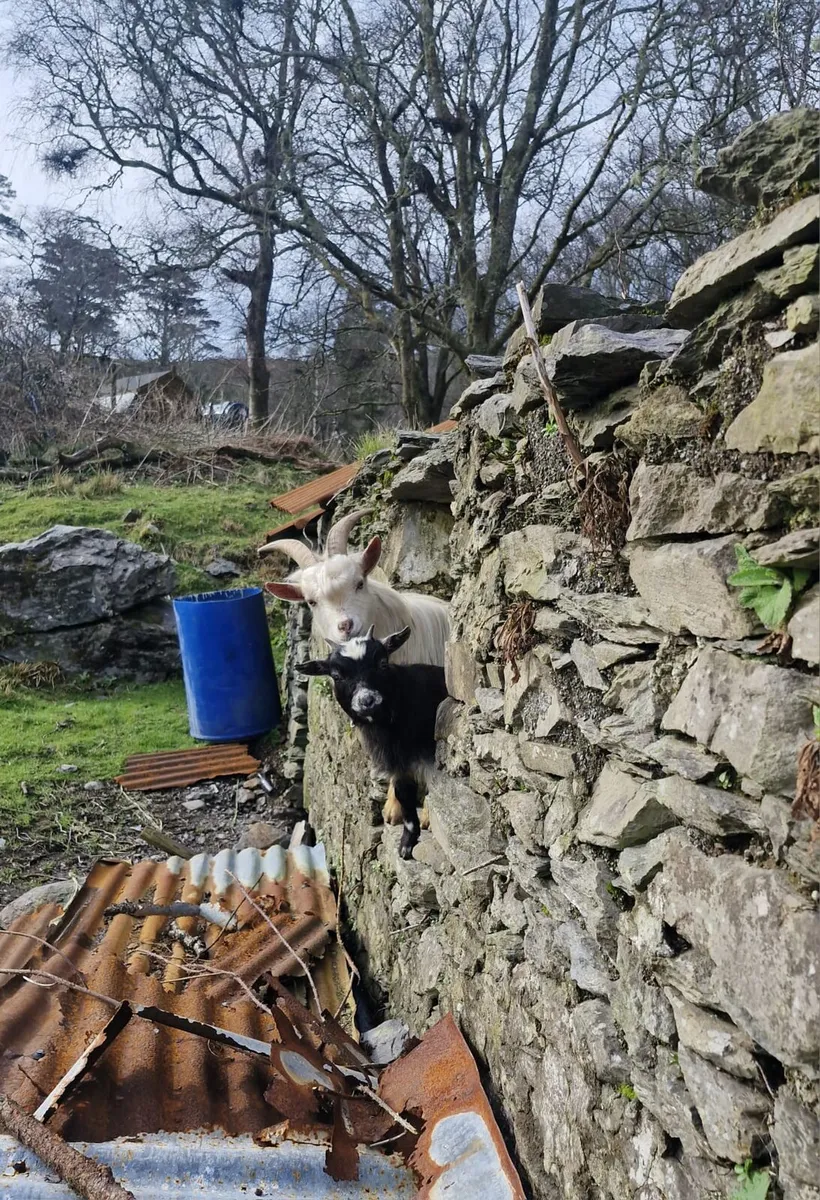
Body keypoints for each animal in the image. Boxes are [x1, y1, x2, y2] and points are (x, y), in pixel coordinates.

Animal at [297, 626, 447, 859]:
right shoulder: (397, 764)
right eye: (336, 676)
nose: (367, 700)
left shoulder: (431, 757)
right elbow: (404, 798)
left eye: (382, 663)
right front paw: (406, 845)